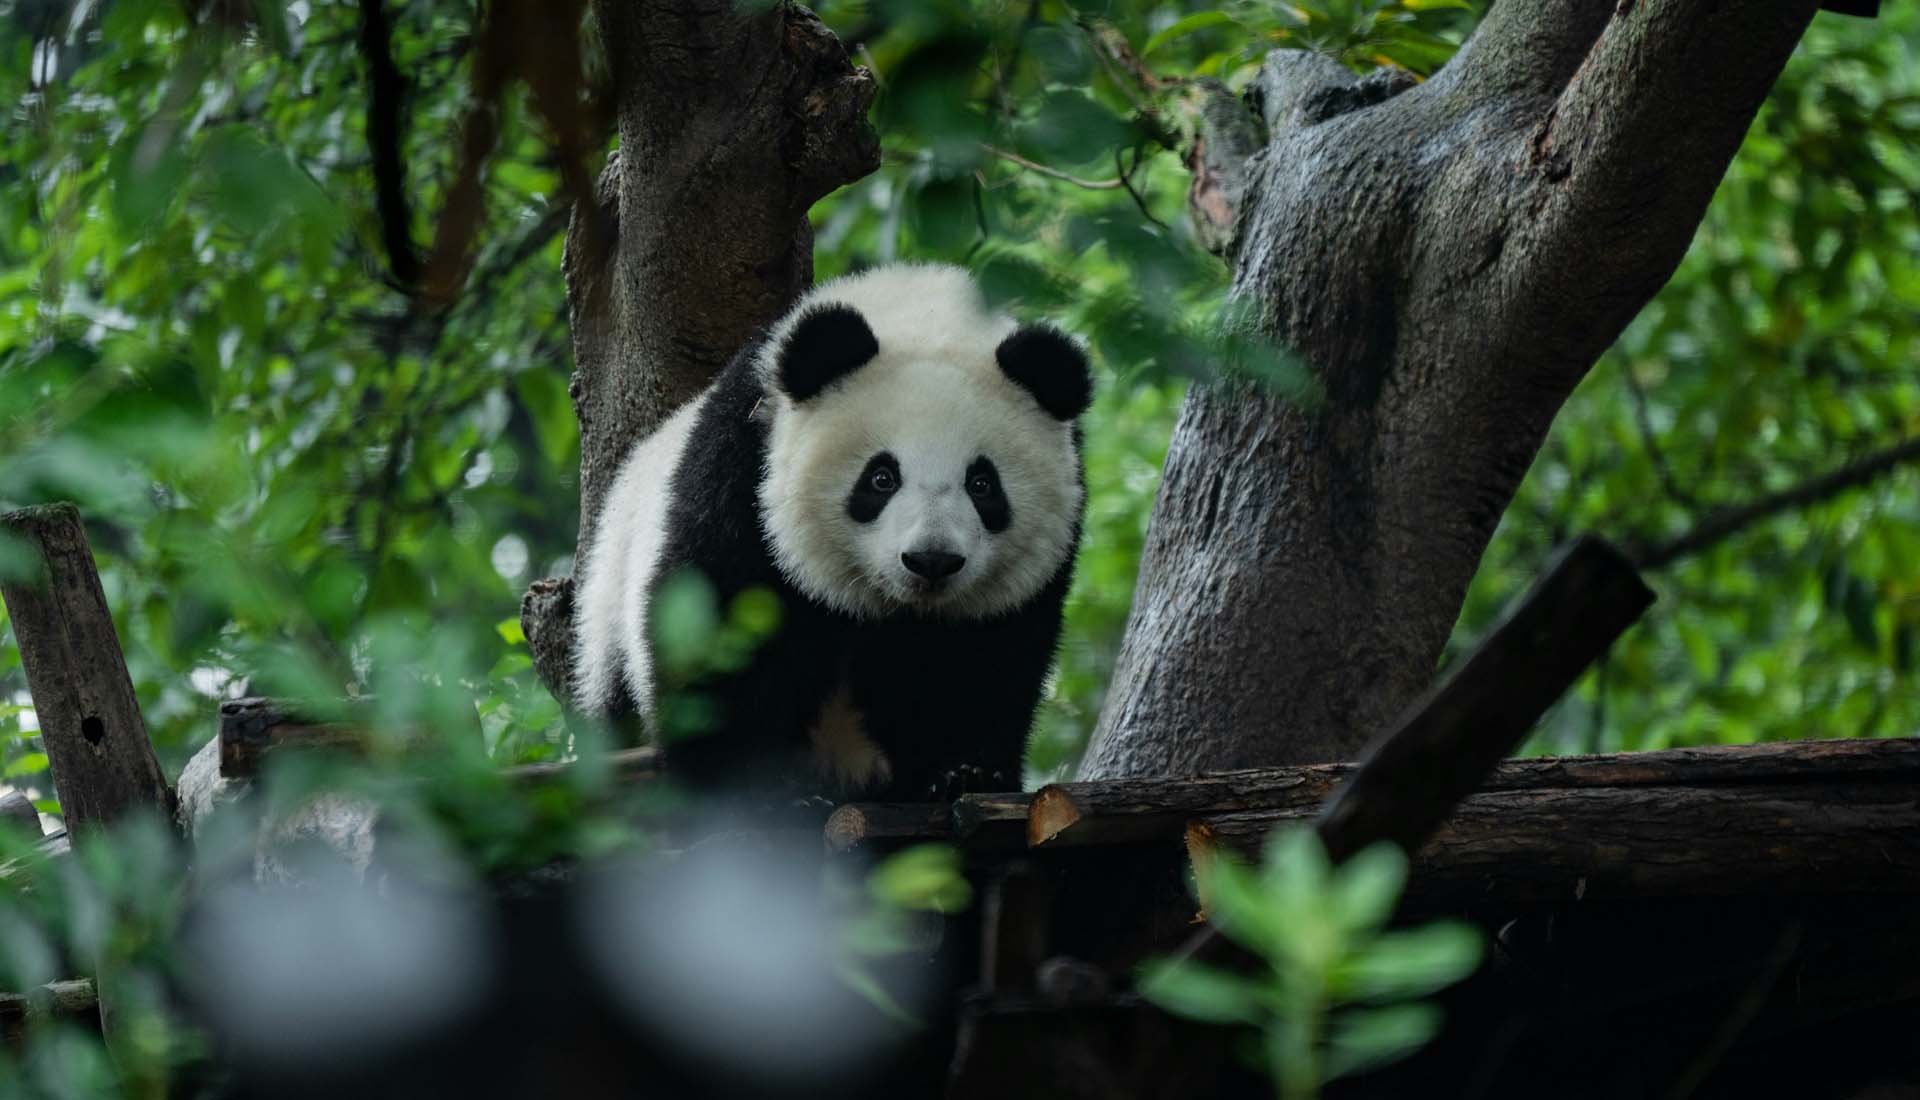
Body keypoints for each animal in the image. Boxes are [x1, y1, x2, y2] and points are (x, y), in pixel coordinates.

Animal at [570, 263, 1091, 800]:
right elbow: (718, 628)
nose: (931, 561)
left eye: (983, 485)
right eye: (881, 478)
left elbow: (982, 662)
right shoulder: (743, 470)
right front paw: (743, 783)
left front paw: (963, 771)